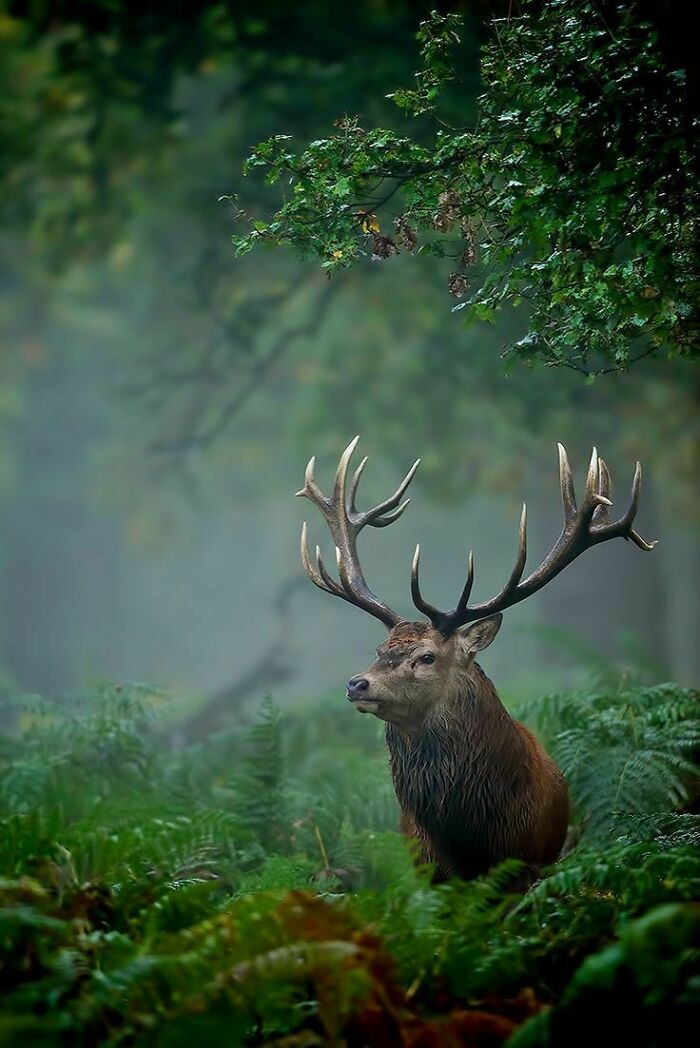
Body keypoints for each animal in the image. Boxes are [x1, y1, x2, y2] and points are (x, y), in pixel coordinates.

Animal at [296, 437, 657, 883]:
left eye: (426, 657)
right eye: (380, 651)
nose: (356, 683)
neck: (471, 837)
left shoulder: (528, 863)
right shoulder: (429, 870)